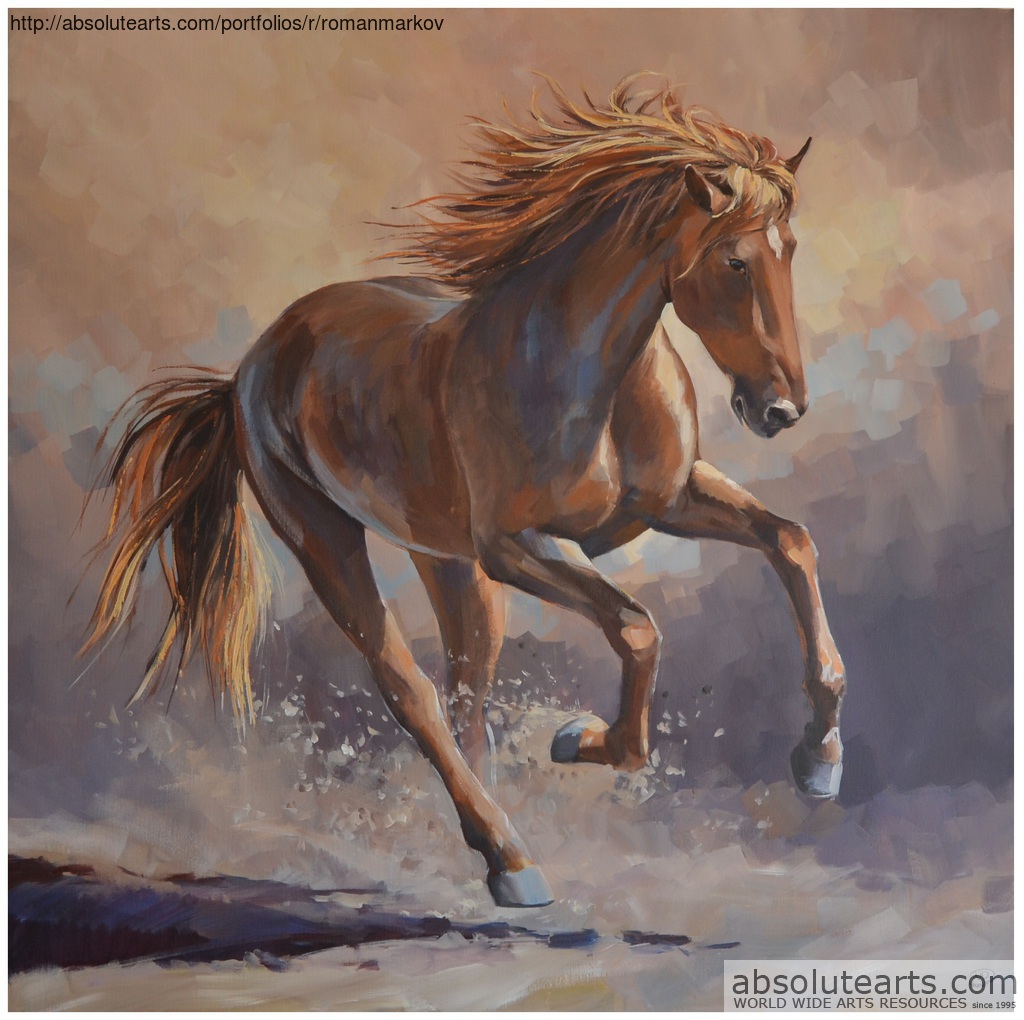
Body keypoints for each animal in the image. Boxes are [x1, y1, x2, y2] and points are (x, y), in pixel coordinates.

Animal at [83, 77, 845, 909]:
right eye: (735, 261)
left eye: (791, 252)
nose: (781, 410)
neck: (583, 374)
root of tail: (247, 372)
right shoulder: (517, 547)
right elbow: (637, 629)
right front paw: (581, 739)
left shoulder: (669, 504)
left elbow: (791, 543)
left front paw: (820, 759)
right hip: (330, 542)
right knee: (411, 691)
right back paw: (510, 859)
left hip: (450, 566)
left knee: (465, 701)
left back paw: (497, 856)